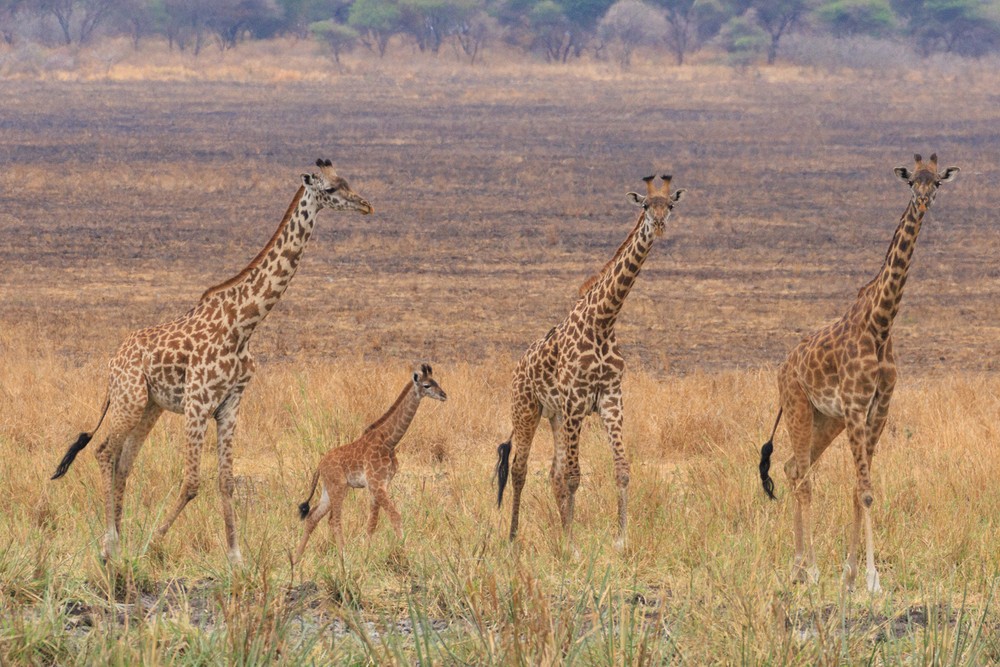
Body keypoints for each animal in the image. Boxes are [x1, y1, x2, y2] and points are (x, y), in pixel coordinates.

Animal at [50, 159, 374, 564]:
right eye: (330, 190)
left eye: (347, 181)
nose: (366, 205)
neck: (243, 323)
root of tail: (113, 362)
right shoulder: (197, 403)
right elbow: (192, 482)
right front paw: (153, 542)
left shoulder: (230, 405)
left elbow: (226, 481)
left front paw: (236, 557)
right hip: (130, 399)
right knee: (105, 451)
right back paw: (111, 545)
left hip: (150, 407)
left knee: (124, 462)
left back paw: (118, 542)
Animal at [293, 364, 447, 563]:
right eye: (427, 385)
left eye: (436, 381)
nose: (444, 395)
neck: (389, 441)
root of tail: (320, 465)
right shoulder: (376, 484)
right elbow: (395, 516)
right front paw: (404, 555)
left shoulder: (380, 485)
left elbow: (372, 523)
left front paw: (366, 556)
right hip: (339, 487)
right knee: (334, 520)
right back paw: (344, 557)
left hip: (328, 489)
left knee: (312, 517)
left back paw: (296, 559)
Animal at [495, 175, 685, 551]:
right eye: (645, 205)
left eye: (670, 204)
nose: (659, 226)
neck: (604, 321)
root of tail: (518, 366)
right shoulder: (575, 401)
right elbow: (574, 476)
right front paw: (572, 545)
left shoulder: (610, 400)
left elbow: (622, 470)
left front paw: (620, 539)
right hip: (526, 410)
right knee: (520, 469)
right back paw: (512, 538)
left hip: (554, 416)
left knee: (551, 473)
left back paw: (557, 529)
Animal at [758, 154, 959, 592]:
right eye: (912, 182)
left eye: (936, 182)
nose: (924, 201)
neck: (881, 324)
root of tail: (782, 368)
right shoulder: (854, 405)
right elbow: (865, 491)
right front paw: (871, 579)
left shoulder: (878, 408)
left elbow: (858, 488)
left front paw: (851, 574)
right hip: (799, 407)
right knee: (802, 476)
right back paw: (811, 569)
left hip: (825, 420)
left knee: (792, 467)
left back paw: (799, 565)